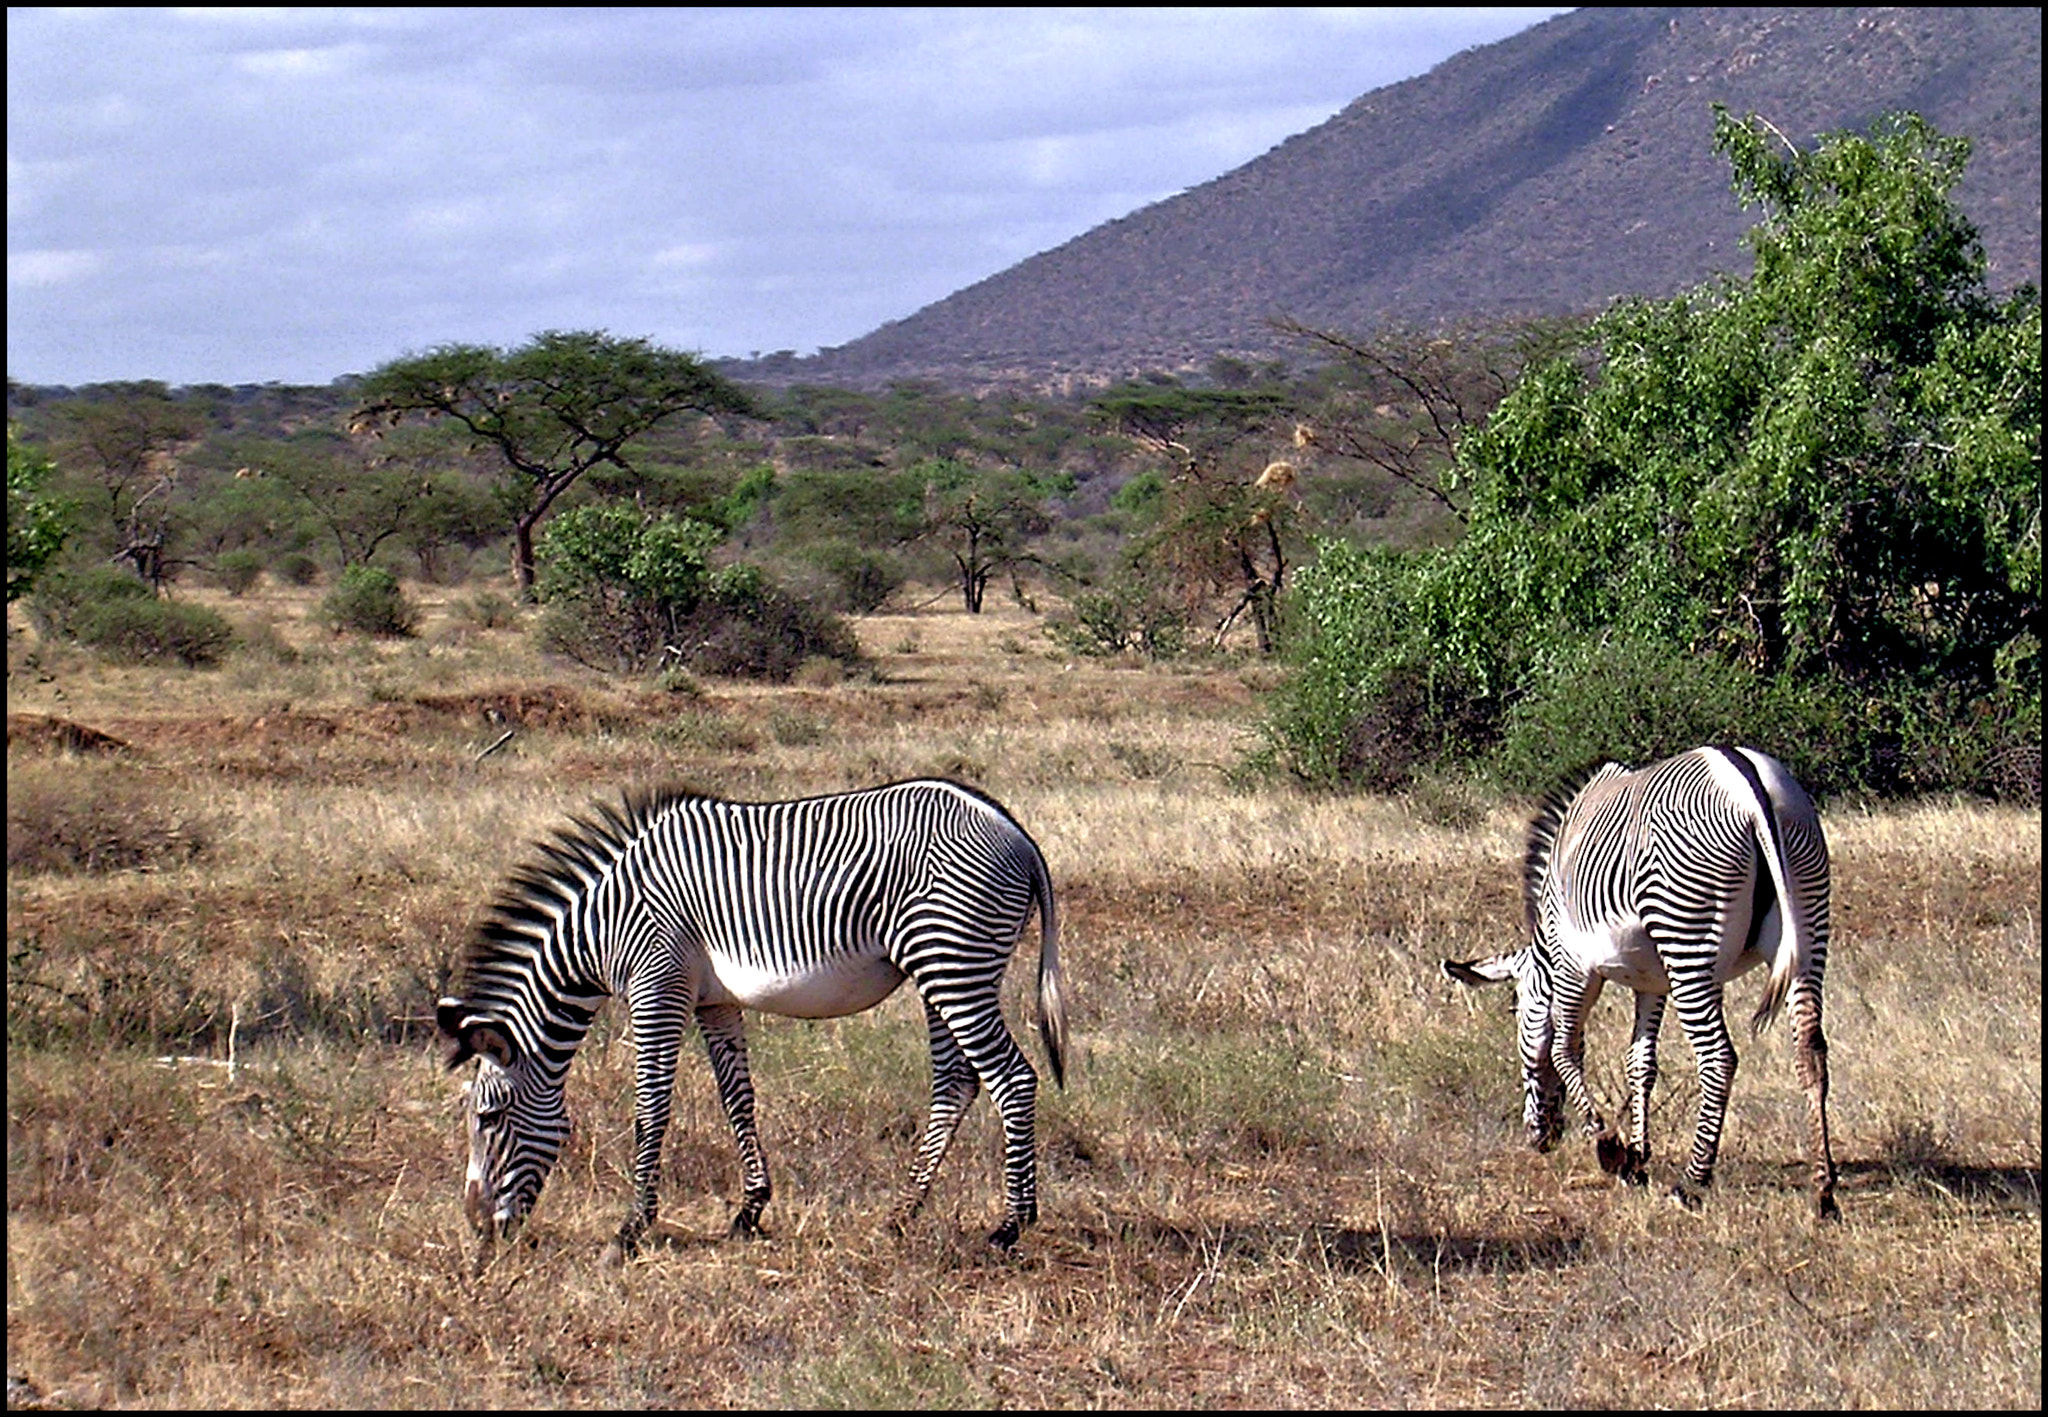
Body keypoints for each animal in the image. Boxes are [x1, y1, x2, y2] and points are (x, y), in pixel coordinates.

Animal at [436, 774, 1073, 1261]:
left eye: (488, 1117)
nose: (479, 1229)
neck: (600, 927)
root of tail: (1014, 830)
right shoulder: (713, 1000)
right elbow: (735, 1098)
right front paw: (749, 1210)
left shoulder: (657, 985)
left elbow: (650, 1110)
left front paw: (630, 1229)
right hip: (942, 968)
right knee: (956, 1082)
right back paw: (901, 1213)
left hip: (952, 961)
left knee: (1012, 1078)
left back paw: (1010, 1227)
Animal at [1441, 741, 1843, 1220]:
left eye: (1516, 1013)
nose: (1539, 1139)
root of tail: (1748, 782)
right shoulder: (1653, 982)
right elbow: (1640, 1062)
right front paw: (1638, 1156)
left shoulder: (1573, 964)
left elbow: (1563, 1050)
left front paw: (1609, 1147)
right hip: (1807, 922)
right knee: (1810, 1050)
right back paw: (1824, 1190)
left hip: (1687, 933)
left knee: (1719, 1057)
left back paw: (1692, 1183)